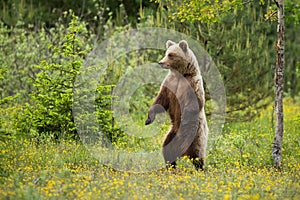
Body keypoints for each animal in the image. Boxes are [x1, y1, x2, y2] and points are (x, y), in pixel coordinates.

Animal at [146, 39, 209, 170]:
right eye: (166, 53)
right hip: (172, 135)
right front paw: (149, 118)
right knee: (167, 150)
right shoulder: (170, 84)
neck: (180, 74)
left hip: (196, 135)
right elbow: (161, 100)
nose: (160, 62)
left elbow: (196, 103)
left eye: (171, 55)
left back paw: (200, 168)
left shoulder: (192, 85)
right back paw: (171, 166)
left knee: (197, 154)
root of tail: (184, 153)